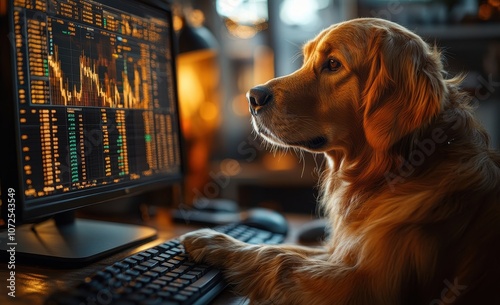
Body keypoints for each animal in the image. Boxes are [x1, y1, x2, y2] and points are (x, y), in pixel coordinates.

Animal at [181, 17, 500, 302]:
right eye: (306, 59)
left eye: (333, 64)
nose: (252, 97)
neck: (385, 173)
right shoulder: (339, 252)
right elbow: (291, 249)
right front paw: (217, 240)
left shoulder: (367, 285)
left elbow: (278, 256)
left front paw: (217, 243)